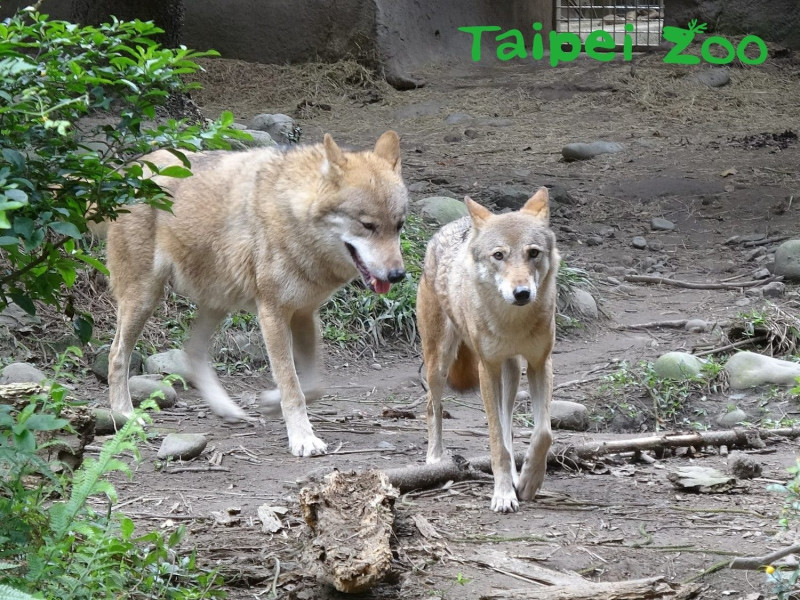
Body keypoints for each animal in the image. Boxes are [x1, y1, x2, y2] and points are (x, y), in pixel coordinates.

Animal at [104, 131, 406, 458]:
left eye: (398, 226)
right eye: (368, 225)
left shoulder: (304, 314)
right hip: (145, 298)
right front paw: (303, 439)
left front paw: (271, 403)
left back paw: (227, 409)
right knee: (117, 354)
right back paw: (124, 414)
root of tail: (127, 169)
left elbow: (312, 387)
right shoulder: (272, 313)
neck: (291, 214)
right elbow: (292, 386)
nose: (398, 275)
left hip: (217, 302)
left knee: (192, 352)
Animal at [416, 190, 560, 512]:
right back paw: (434, 458)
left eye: (533, 253)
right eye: (499, 255)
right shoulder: (487, 368)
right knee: (433, 407)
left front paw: (528, 481)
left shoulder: (540, 363)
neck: (513, 323)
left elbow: (542, 433)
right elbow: (496, 443)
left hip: (512, 372)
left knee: (508, 424)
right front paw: (504, 495)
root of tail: (453, 225)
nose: (522, 293)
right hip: (439, 364)